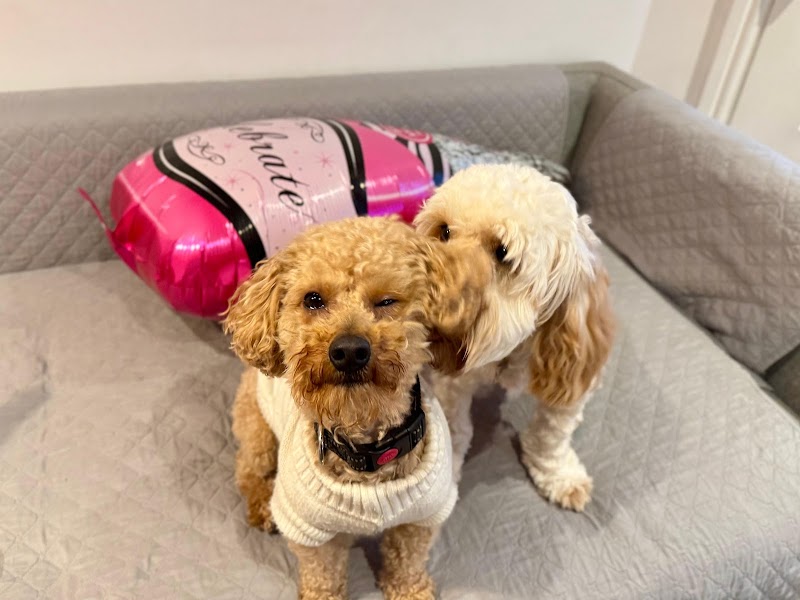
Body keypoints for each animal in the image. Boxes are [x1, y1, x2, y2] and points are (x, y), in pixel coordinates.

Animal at [224, 216, 490, 600]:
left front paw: (410, 591)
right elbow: (322, 573)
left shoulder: (422, 516)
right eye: (313, 299)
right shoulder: (310, 530)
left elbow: (407, 559)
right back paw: (262, 505)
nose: (349, 350)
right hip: (256, 427)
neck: (367, 447)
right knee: (247, 469)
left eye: (387, 300)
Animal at [414, 164, 615, 511]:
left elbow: (551, 435)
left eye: (502, 252)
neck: (512, 354)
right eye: (444, 231)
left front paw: (558, 474)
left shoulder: (570, 374)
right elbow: (456, 427)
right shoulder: (454, 383)